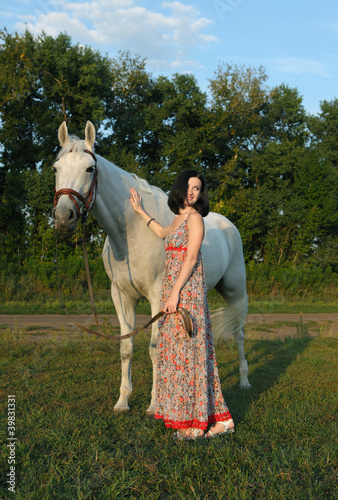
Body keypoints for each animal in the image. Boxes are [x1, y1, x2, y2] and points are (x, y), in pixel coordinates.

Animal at [52, 120, 248, 414]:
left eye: (90, 169)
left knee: (239, 332)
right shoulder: (121, 296)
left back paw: (245, 380)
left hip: (235, 291)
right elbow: (126, 348)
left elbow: (155, 348)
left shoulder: (159, 296)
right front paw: (123, 401)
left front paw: (155, 404)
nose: (64, 217)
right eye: (56, 168)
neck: (131, 234)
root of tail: (229, 225)